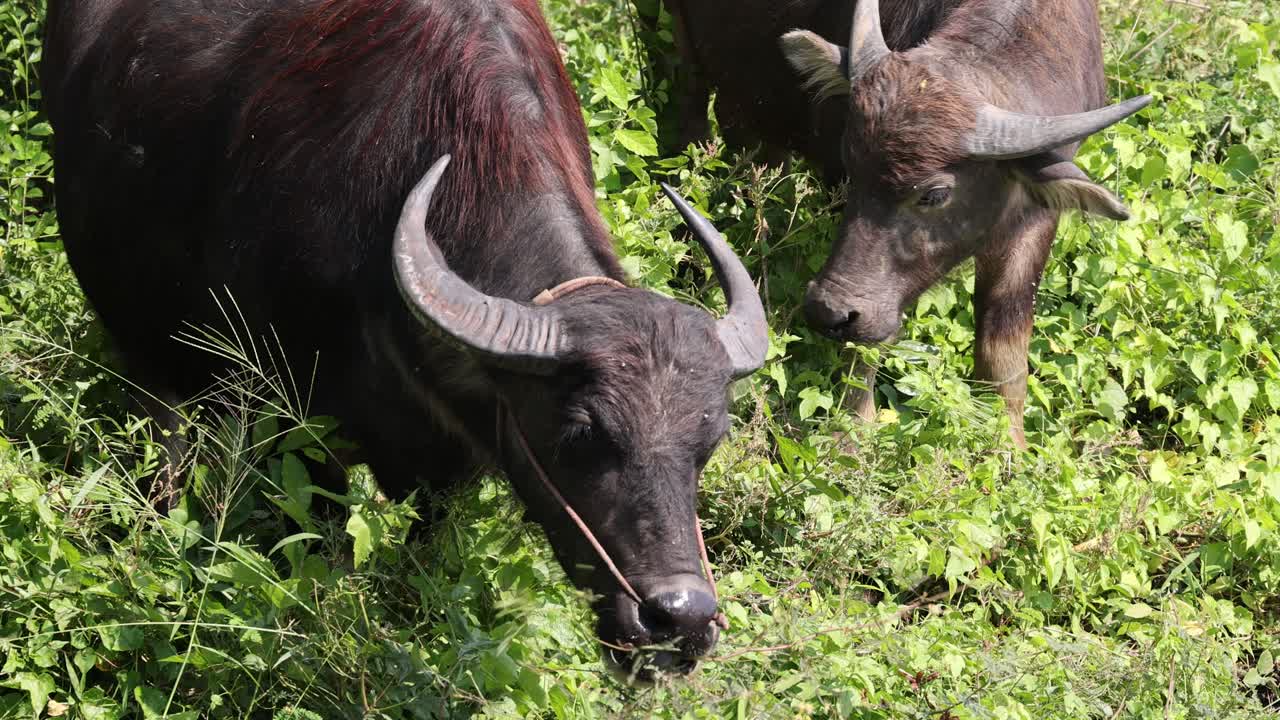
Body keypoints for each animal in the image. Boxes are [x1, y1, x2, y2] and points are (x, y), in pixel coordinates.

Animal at [43, 0, 768, 679]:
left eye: (708, 443)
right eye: (581, 434)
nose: (680, 622)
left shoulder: (451, 460)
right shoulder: (297, 429)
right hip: (140, 341)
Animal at [661, 0, 1150, 445]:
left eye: (933, 194)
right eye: (851, 165)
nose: (827, 311)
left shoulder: (1034, 219)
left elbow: (1005, 348)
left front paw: (1008, 447)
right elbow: (870, 339)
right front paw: (852, 431)